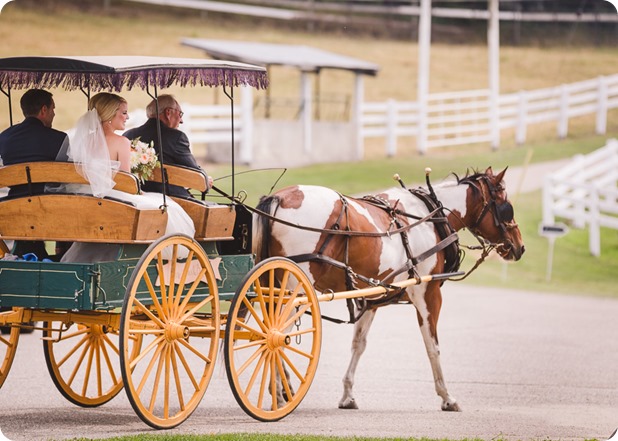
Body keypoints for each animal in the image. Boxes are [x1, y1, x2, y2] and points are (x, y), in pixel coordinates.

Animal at [253, 167, 524, 410]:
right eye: (505, 205)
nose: (519, 246)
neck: (429, 217)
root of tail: (279, 197)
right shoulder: (428, 293)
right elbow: (432, 345)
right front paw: (447, 397)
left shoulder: (371, 297)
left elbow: (359, 344)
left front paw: (348, 395)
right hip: (295, 289)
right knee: (277, 337)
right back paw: (280, 395)